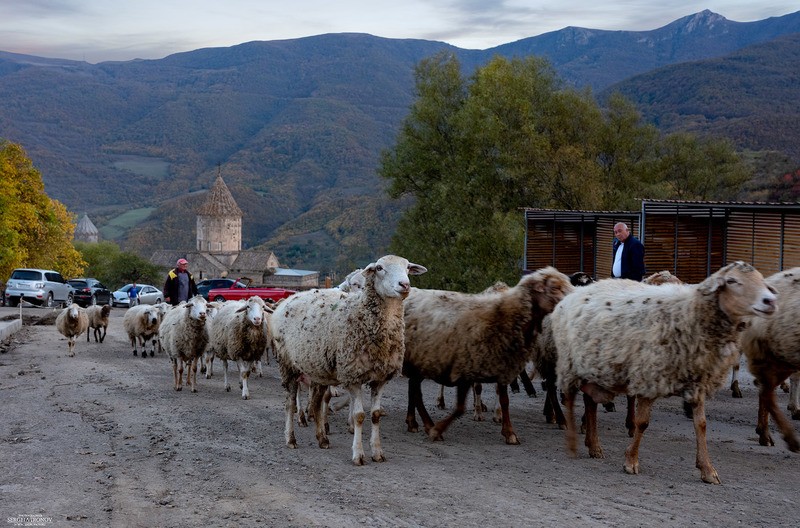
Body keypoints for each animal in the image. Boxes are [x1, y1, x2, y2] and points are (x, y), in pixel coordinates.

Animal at [272, 256, 428, 466]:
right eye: (380, 268)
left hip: (318, 369)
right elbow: (359, 415)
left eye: (408, 267)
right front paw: (358, 454)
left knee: (317, 403)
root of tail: (290, 299)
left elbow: (375, 415)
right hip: (288, 364)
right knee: (290, 403)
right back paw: (290, 438)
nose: (404, 285)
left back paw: (322, 438)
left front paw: (377, 452)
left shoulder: (381, 378)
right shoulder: (352, 375)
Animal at [404, 266, 572, 444]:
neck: (502, 316)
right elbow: (460, 407)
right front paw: (438, 429)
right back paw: (427, 424)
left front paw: (509, 432)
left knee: (413, 388)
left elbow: (504, 401)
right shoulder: (466, 367)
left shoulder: (502, 366)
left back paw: (415, 422)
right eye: (554, 287)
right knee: (416, 391)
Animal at [552, 260, 776, 482]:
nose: (770, 301)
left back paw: (594, 445)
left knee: (590, 403)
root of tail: (578, 291)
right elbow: (642, 422)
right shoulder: (648, 377)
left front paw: (707, 469)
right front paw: (631, 461)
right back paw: (572, 440)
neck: (687, 314)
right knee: (570, 400)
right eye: (732, 281)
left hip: (593, 367)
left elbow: (701, 425)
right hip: (572, 364)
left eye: (760, 279)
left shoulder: (697, 382)